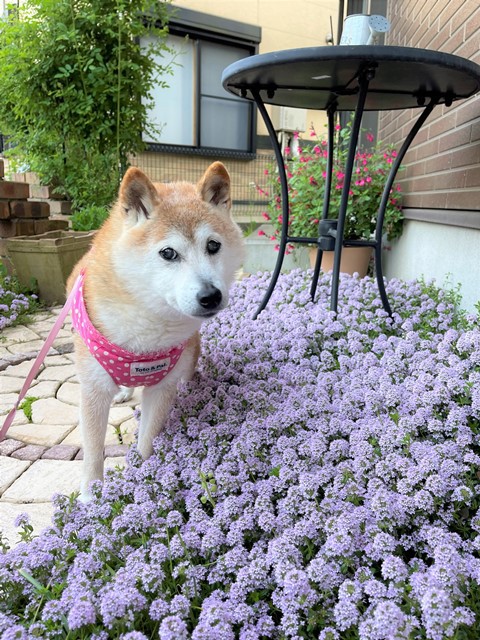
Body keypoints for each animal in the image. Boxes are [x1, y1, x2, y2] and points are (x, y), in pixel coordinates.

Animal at [67, 161, 246, 500]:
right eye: (168, 253)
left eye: (213, 245)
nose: (210, 296)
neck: (147, 335)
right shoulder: (94, 389)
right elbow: (93, 451)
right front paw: (90, 496)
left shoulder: (162, 387)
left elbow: (147, 440)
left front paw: (142, 475)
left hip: (190, 355)